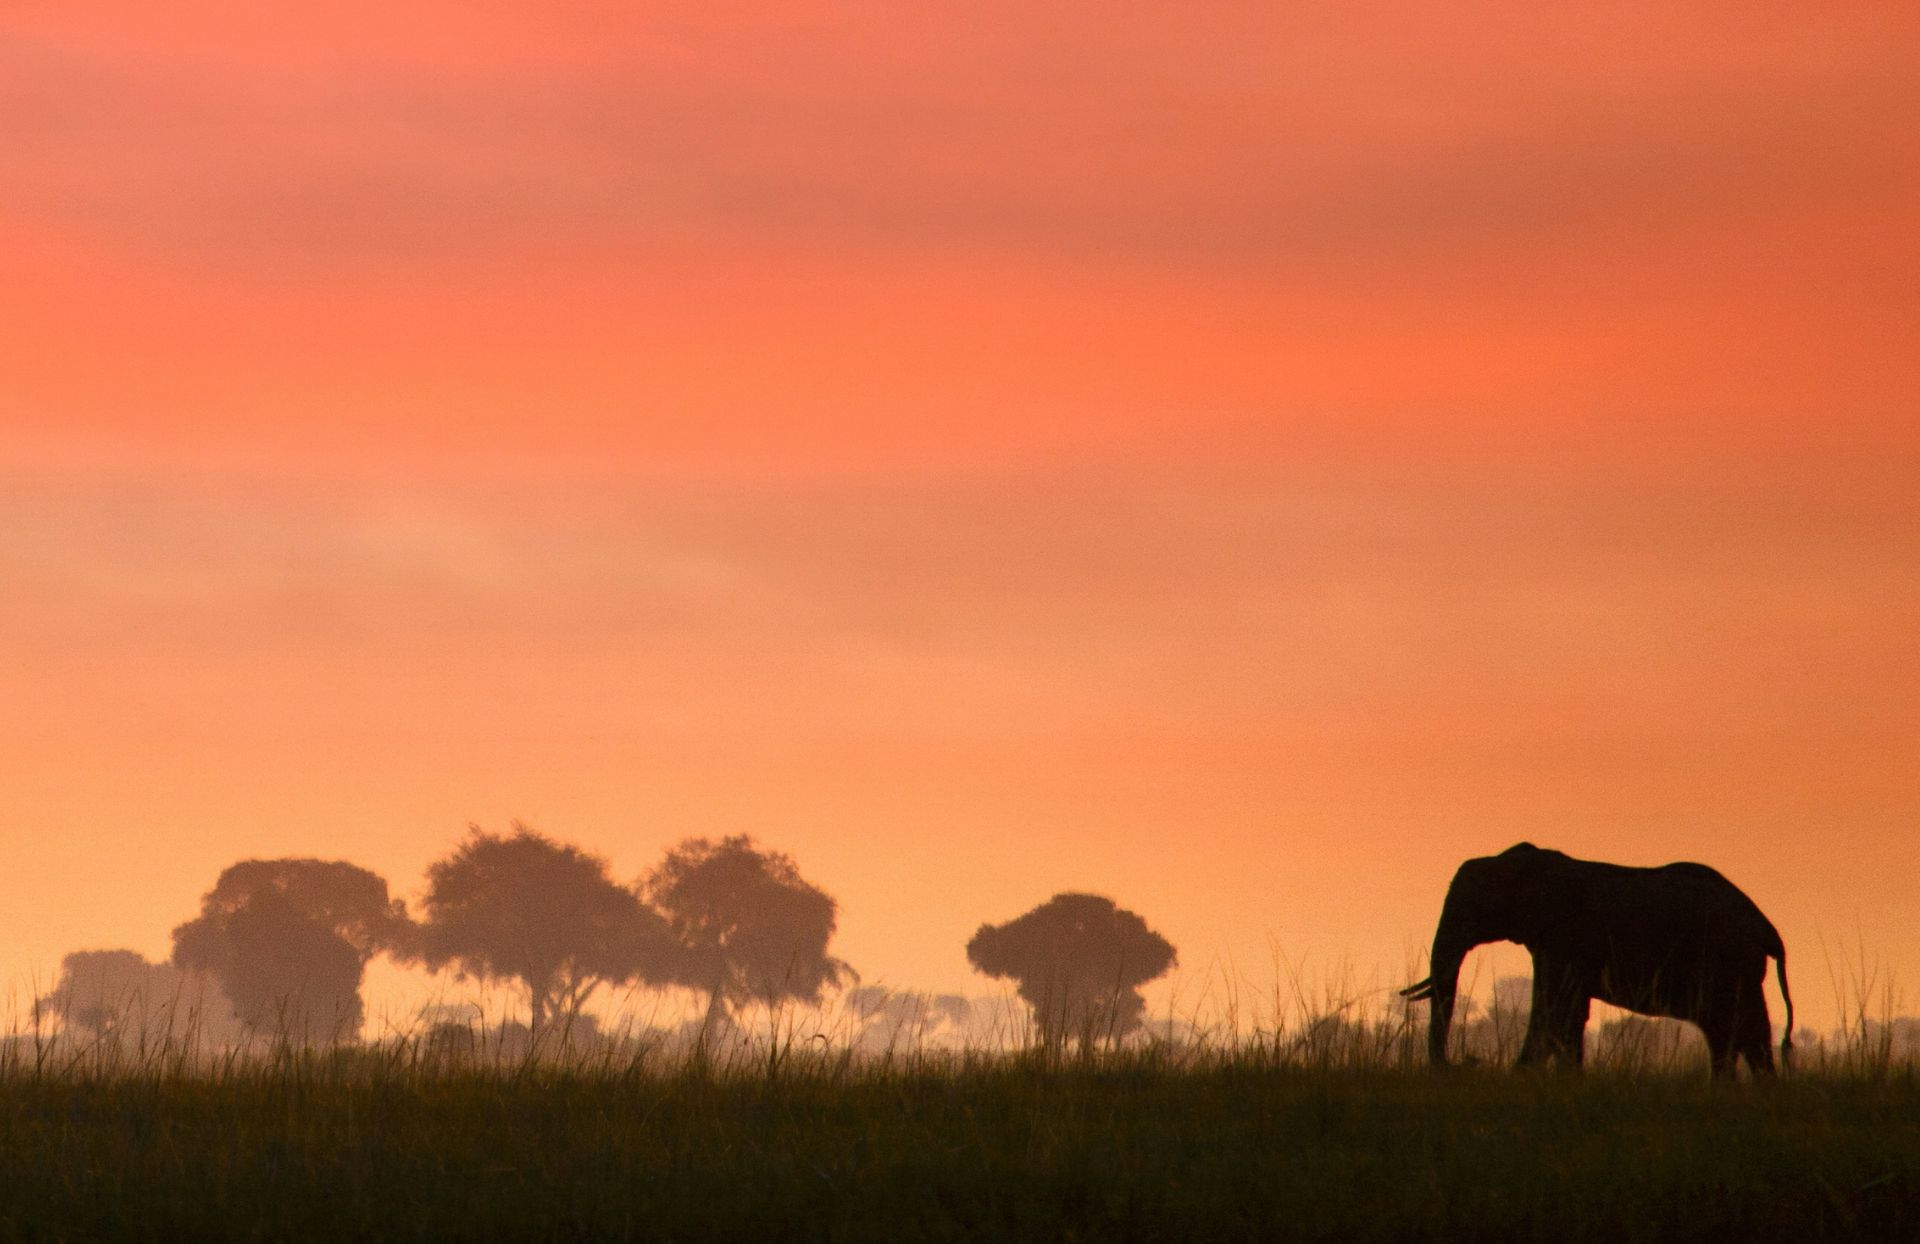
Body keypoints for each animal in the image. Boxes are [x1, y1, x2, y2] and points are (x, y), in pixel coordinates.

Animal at [1401, 843, 1793, 1079]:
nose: (1467, 1062)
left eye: (1471, 906)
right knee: (1741, 1033)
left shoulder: (1564, 939)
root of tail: (1768, 929)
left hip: (1728, 963)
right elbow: (1567, 1014)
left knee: (1733, 1030)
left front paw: (1524, 1077)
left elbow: (1554, 1009)